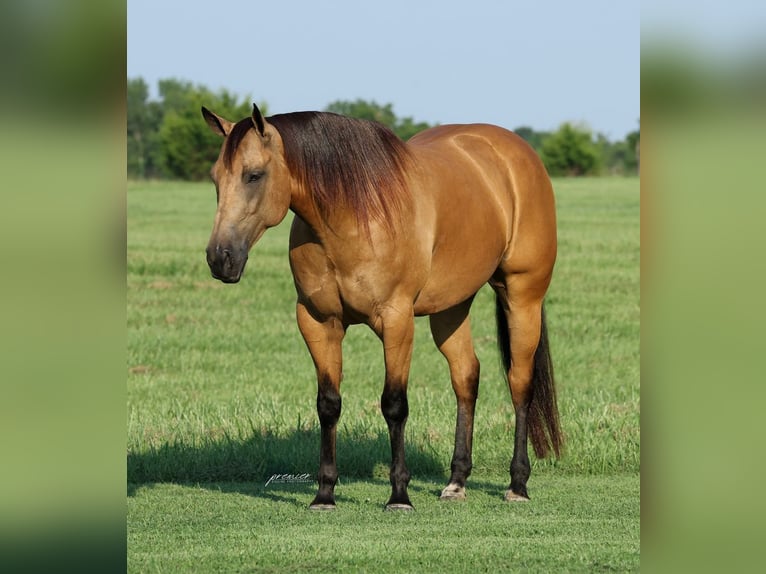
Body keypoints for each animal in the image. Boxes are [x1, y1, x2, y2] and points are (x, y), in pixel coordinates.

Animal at [201, 103, 562, 510]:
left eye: (254, 175)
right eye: (216, 178)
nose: (220, 258)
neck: (350, 216)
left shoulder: (396, 320)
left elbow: (394, 404)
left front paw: (399, 494)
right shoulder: (317, 321)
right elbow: (328, 404)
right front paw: (324, 493)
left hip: (522, 295)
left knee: (520, 381)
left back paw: (517, 484)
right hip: (452, 307)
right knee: (466, 376)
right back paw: (456, 482)